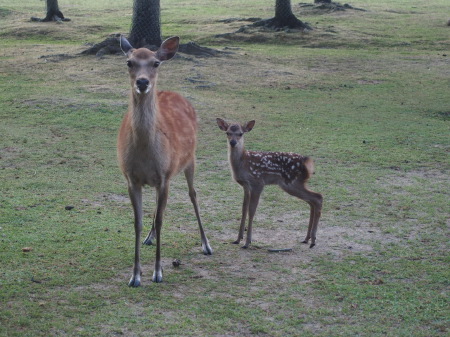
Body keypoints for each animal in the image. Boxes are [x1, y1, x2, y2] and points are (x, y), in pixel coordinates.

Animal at [118, 35, 213, 284]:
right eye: (129, 62)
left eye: (156, 63)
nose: (142, 82)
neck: (145, 152)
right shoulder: (131, 178)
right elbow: (138, 222)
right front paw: (135, 276)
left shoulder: (165, 176)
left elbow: (161, 220)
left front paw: (158, 272)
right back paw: (149, 238)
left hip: (190, 159)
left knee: (193, 194)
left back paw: (206, 244)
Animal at [216, 117, 322, 247]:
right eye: (228, 133)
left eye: (240, 134)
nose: (233, 142)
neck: (242, 164)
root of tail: (307, 163)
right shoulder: (245, 185)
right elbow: (244, 209)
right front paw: (238, 239)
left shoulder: (257, 182)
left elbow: (252, 210)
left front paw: (247, 242)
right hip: (295, 184)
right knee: (312, 201)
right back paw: (307, 238)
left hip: (292, 182)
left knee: (318, 197)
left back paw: (313, 239)